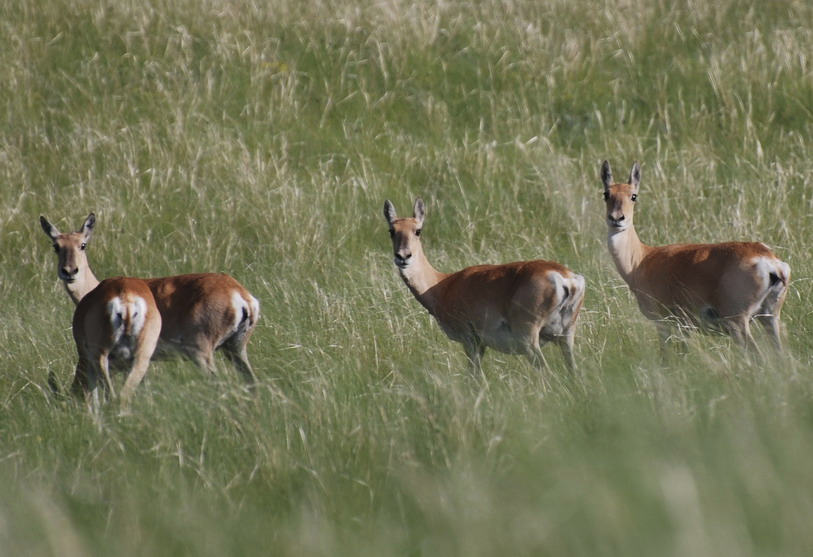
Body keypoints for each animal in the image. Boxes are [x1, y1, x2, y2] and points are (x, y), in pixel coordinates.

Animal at [40, 211, 260, 384]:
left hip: (202, 354)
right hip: (236, 350)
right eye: (56, 246)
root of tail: (239, 293)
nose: (69, 271)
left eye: (83, 244)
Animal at [386, 198, 584, 376]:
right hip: (566, 337)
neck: (443, 284)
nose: (403, 256)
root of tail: (566, 278)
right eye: (392, 230)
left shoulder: (470, 341)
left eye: (417, 230)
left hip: (529, 339)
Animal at [604, 161, 788, 352]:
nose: (616, 218)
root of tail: (768, 259)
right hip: (770, 319)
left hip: (738, 323)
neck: (642, 259)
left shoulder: (665, 324)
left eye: (633, 196)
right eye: (606, 194)